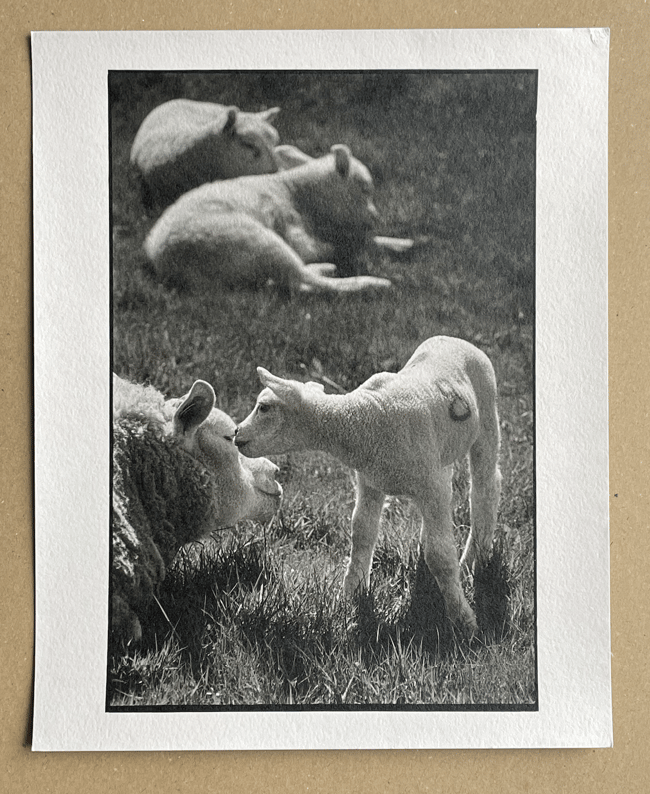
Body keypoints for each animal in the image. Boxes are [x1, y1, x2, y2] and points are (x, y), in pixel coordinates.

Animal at [144, 144, 393, 297]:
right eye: (365, 189)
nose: (376, 218)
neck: (298, 193)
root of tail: (165, 260)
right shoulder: (294, 229)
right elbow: (331, 245)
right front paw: (354, 246)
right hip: (250, 238)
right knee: (302, 280)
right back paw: (371, 283)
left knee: (290, 282)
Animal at [234, 336, 502, 636]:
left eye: (264, 407)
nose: (236, 433)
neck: (362, 420)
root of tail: (454, 339)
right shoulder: (370, 480)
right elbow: (361, 531)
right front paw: (352, 592)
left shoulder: (430, 487)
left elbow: (441, 555)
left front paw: (463, 619)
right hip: (440, 452)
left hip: (487, 417)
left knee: (485, 488)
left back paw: (475, 557)